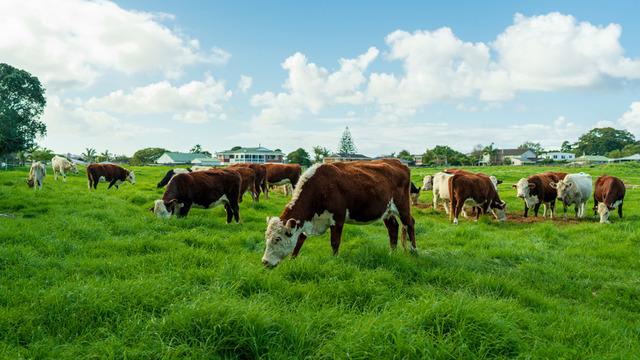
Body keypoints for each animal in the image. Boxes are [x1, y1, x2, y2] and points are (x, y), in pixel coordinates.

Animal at [262, 159, 418, 266]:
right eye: (266, 237)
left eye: (278, 239)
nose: (265, 262)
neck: (319, 187)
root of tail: (398, 162)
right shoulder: (308, 220)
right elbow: (300, 240)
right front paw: (292, 260)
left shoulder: (337, 218)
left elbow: (335, 242)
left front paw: (334, 260)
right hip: (387, 210)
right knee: (393, 227)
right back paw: (392, 253)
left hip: (403, 206)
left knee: (410, 223)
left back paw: (414, 251)